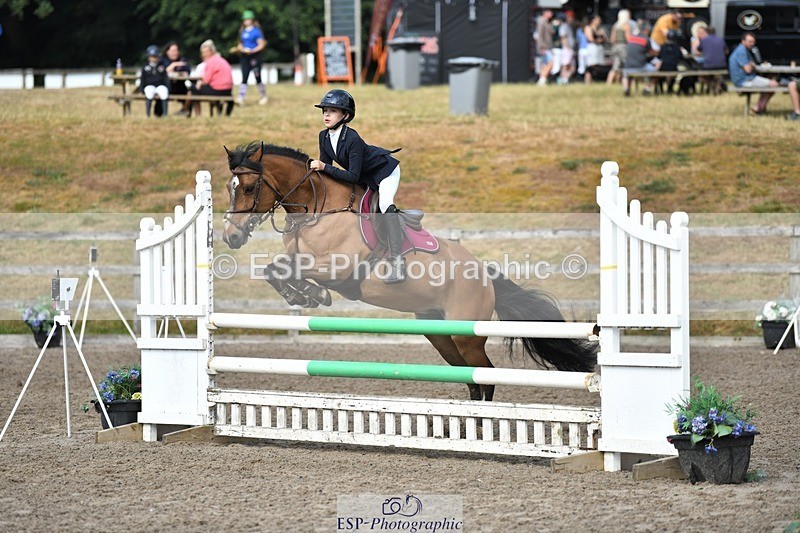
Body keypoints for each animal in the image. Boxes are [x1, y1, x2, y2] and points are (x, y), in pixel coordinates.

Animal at [222, 141, 596, 401]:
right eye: (230, 187)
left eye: (250, 187)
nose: (231, 237)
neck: (318, 208)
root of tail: (484, 274)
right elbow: (274, 269)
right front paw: (302, 295)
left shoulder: (338, 268)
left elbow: (286, 269)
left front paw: (313, 294)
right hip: (440, 333)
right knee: (469, 375)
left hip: (466, 333)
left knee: (485, 374)